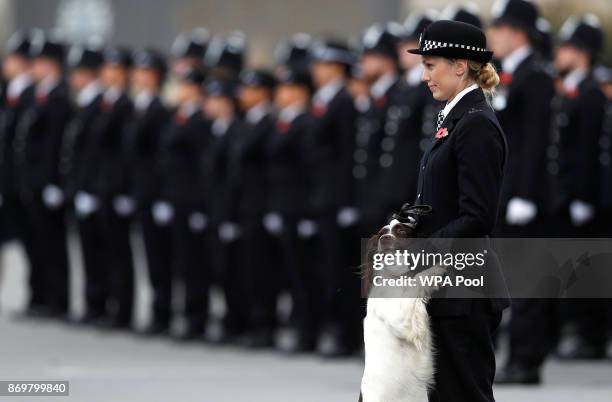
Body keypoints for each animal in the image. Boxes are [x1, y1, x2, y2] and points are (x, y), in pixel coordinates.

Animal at [358, 206, 444, 400]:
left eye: (402, 232)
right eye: (381, 233)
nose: (384, 239)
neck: (395, 277)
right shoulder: (402, 318)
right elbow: (419, 279)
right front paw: (441, 265)